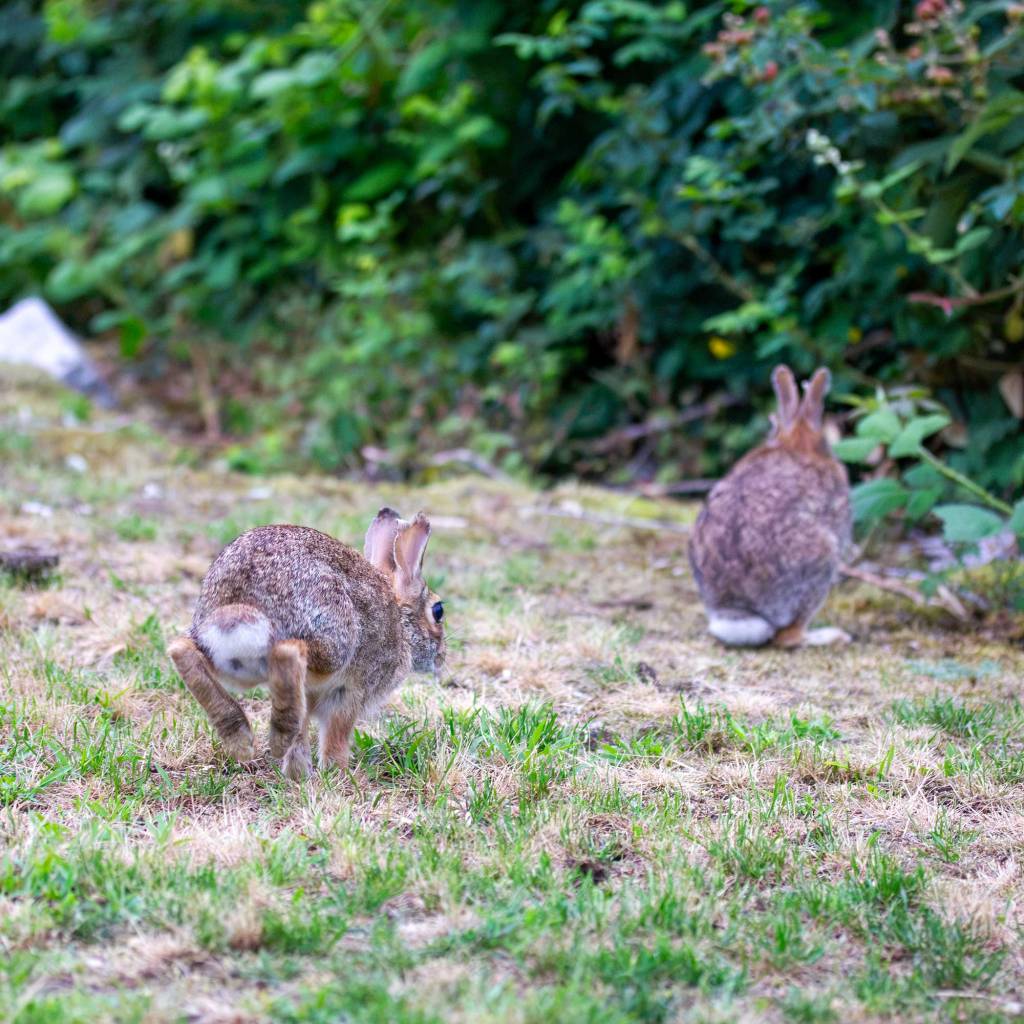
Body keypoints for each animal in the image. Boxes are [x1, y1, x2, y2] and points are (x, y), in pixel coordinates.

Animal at [167, 508, 445, 780]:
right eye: (438, 611)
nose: (441, 658)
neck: (403, 625)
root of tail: (239, 599)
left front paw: (298, 776)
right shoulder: (351, 692)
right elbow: (336, 737)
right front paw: (338, 773)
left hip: (225, 653)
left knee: (182, 650)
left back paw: (239, 736)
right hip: (332, 641)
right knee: (288, 652)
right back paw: (275, 739)